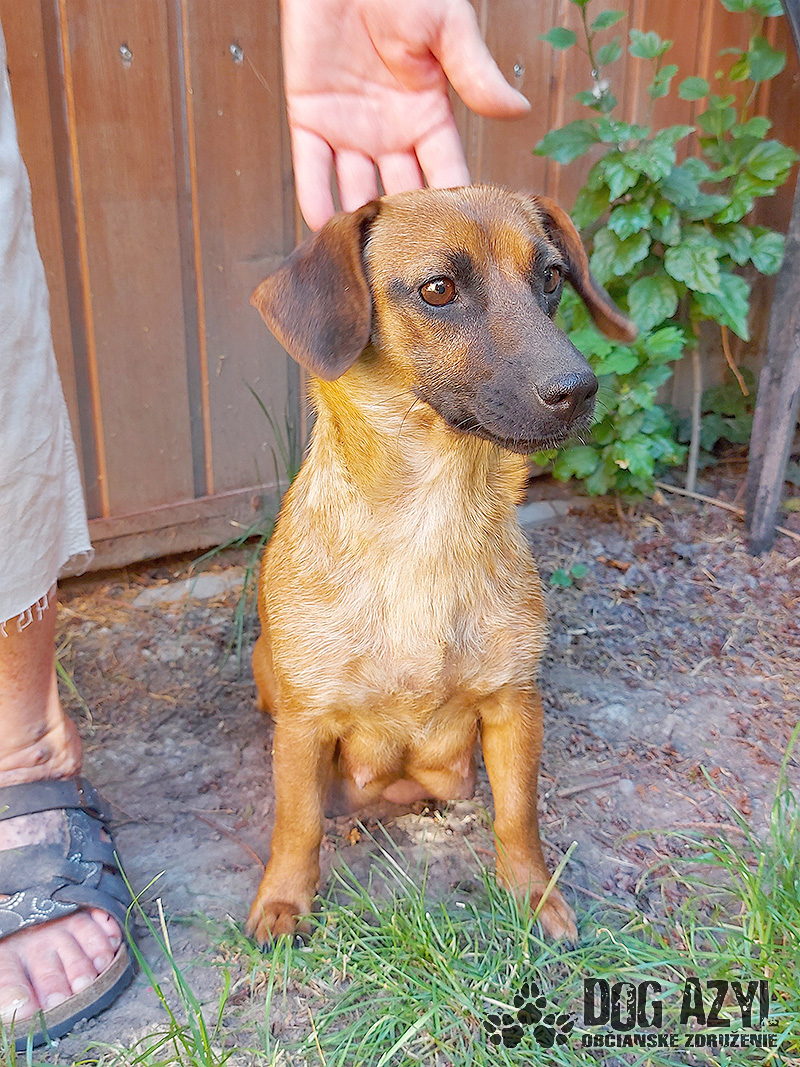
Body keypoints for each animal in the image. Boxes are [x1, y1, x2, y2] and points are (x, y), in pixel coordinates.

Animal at [246, 185, 635, 946]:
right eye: (438, 289)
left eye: (551, 277)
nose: (580, 389)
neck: (428, 522)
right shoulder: (305, 725)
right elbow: (296, 824)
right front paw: (283, 900)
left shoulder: (514, 706)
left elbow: (520, 815)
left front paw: (534, 893)